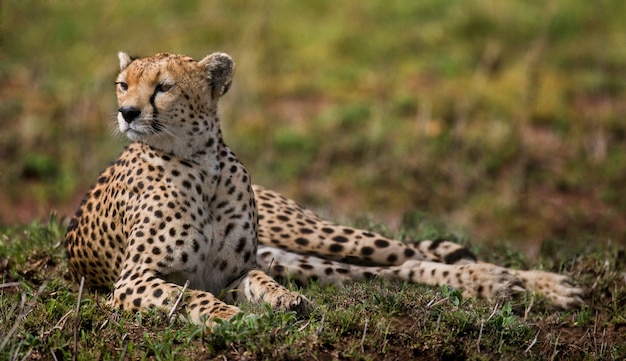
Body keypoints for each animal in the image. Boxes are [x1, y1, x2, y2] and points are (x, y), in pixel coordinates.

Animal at [63, 51, 580, 326]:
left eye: (164, 87)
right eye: (122, 84)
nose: (127, 112)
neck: (200, 163)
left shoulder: (237, 270)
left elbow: (257, 283)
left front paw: (280, 301)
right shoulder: (134, 280)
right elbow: (192, 296)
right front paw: (234, 318)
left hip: (315, 236)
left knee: (410, 253)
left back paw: (529, 282)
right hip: (305, 259)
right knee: (397, 270)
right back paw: (498, 284)